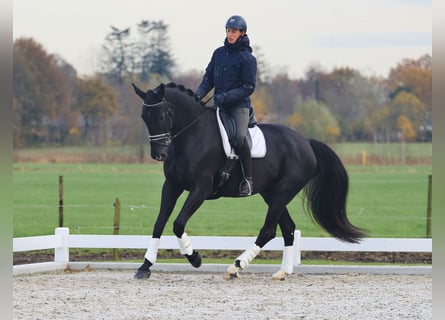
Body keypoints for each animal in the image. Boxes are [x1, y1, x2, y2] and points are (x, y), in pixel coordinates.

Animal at [129, 82, 364, 280]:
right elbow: (159, 223)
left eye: (162, 115)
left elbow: (178, 224)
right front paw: (145, 267)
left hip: (282, 193)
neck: (193, 136)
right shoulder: (171, 186)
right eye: (143, 116)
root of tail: (306, 142)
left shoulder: (200, 189)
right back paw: (282, 272)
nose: (158, 154)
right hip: (272, 194)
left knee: (268, 230)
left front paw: (194, 257)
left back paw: (237, 266)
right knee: (288, 228)